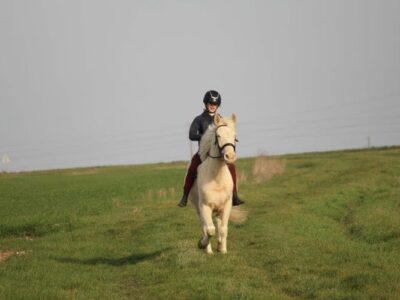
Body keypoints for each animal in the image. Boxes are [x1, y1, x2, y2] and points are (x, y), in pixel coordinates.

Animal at [188, 112, 247, 253]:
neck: (216, 178)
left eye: (234, 136)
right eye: (218, 135)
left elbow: (223, 229)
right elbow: (210, 230)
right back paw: (208, 250)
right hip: (198, 209)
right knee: (205, 227)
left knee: (219, 225)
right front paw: (202, 244)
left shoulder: (226, 206)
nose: (230, 157)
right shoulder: (205, 207)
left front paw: (222, 249)